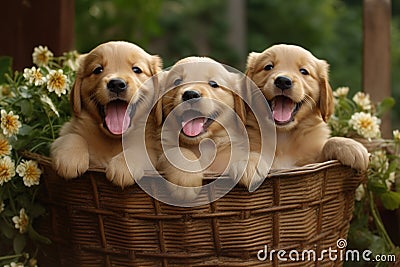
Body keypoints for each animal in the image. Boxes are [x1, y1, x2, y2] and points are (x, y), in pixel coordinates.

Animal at [50, 41, 162, 188]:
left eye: (137, 69)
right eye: (98, 70)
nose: (117, 84)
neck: (113, 139)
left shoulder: (153, 152)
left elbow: (140, 149)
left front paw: (122, 167)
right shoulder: (64, 133)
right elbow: (72, 136)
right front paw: (70, 158)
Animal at [156, 56, 268, 201]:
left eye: (213, 84)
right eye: (177, 81)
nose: (190, 94)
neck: (202, 145)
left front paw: (249, 163)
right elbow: (178, 151)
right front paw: (185, 179)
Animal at [247, 43, 368, 171]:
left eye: (304, 71)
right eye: (268, 67)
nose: (283, 81)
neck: (283, 136)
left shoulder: (311, 160)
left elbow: (328, 143)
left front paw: (349, 145)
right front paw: (250, 164)